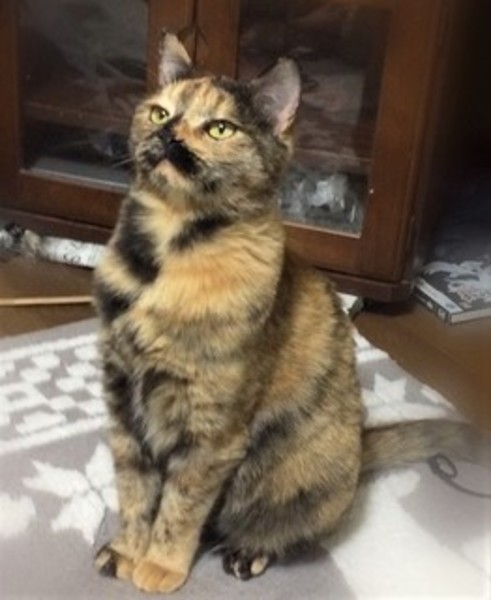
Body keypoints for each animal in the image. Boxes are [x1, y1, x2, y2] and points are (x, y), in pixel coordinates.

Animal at [93, 31, 487, 594]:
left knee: (281, 528)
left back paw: (247, 553)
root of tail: (360, 451)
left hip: (296, 477)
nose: (168, 133)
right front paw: (127, 549)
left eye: (220, 128)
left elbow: (180, 506)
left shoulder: (211, 429)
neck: (165, 257)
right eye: (160, 111)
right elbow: (135, 491)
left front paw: (161, 565)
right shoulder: (124, 401)